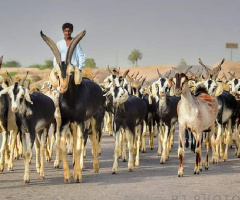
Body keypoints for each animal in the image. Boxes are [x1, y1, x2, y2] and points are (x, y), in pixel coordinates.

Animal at [40, 29, 104, 183]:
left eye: (71, 72)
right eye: (57, 74)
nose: (63, 88)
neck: (71, 101)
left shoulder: (80, 121)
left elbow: (79, 147)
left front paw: (78, 175)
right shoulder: (64, 122)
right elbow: (63, 145)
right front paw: (67, 175)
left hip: (93, 120)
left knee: (93, 141)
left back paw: (95, 167)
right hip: (73, 124)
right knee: (75, 141)